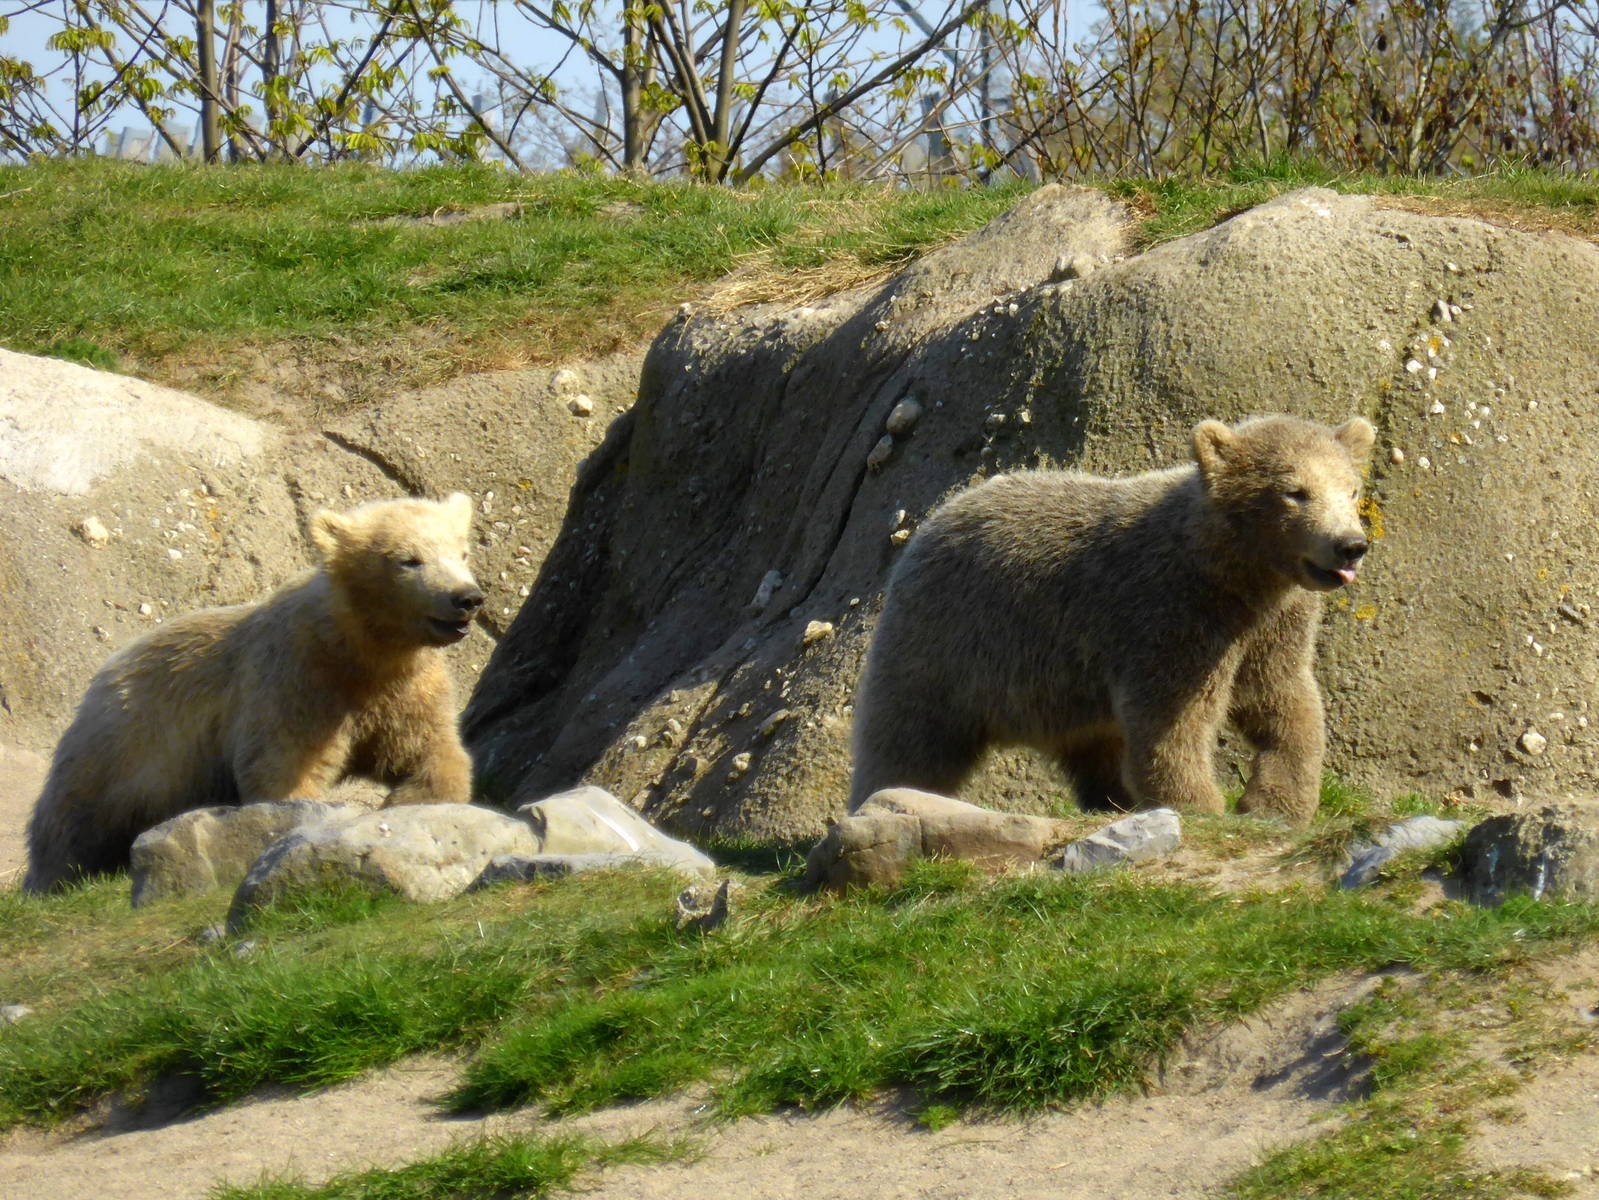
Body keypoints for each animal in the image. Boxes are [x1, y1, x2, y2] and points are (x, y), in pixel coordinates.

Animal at [23, 493, 487, 892]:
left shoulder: (406, 690)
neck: (359, 649)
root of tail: (105, 673)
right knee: (74, 820)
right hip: (126, 744)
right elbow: (282, 766)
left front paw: (406, 800)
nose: (466, 597)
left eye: (462, 552)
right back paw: (51, 878)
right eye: (409, 559)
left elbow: (429, 751)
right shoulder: (297, 679)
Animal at [848, 414, 1375, 826]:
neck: (1236, 572)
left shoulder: (1272, 625)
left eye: (1351, 489)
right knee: (909, 734)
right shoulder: (1170, 613)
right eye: (1295, 492)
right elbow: (1172, 718)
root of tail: (936, 516)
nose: (1350, 544)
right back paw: (887, 797)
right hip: (949, 641)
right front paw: (1197, 803)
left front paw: (1277, 803)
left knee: (1094, 747)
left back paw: (1112, 799)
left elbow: (1283, 702)